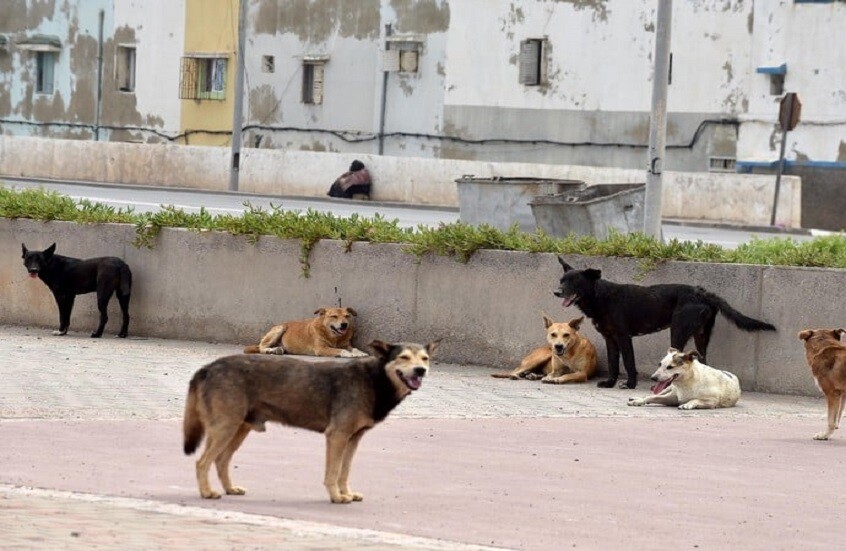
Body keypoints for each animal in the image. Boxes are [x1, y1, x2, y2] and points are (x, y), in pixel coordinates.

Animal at [183, 338, 440, 502]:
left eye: (425, 358)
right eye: (404, 357)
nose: (420, 370)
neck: (375, 380)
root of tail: (207, 367)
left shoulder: (353, 439)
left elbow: (344, 471)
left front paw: (346, 493)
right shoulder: (336, 436)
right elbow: (333, 472)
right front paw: (336, 497)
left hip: (238, 429)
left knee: (221, 461)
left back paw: (230, 489)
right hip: (225, 427)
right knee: (202, 462)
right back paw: (207, 493)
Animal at [552, 256, 780, 390]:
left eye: (574, 281)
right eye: (562, 280)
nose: (556, 292)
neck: (601, 297)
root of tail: (703, 293)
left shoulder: (624, 337)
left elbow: (629, 362)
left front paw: (631, 384)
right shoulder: (610, 339)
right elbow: (613, 363)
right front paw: (610, 383)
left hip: (678, 332)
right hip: (701, 335)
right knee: (702, 361)